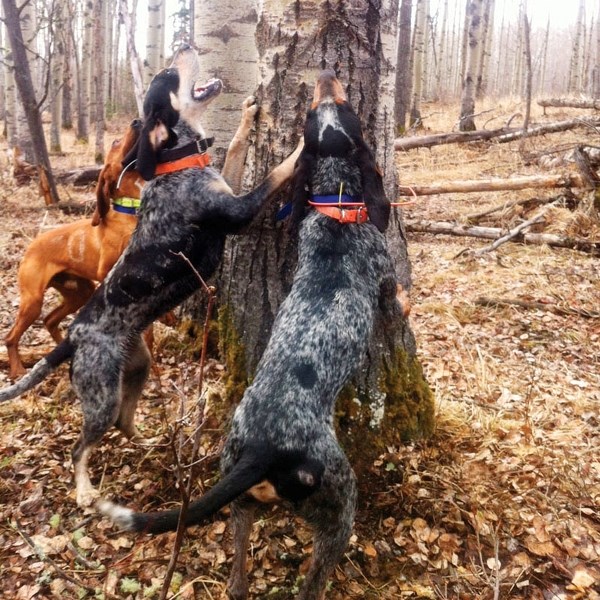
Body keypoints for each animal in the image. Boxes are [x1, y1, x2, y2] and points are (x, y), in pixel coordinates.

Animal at [4, 119, 145, 378]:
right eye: (115, 142)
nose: (138, 121)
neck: (130, 209)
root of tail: (30, 247)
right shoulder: (106, 269)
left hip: (80, 291)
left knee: (50, 320)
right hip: (33, 300)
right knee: (11, 336)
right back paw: (18, 369)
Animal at [101, 69, 400, 600]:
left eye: (324, 109)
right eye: (343, 110)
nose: (326, 75)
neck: (338, 205)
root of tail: (263, 451)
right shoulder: (384, 276)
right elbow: (397, 294)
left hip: (238, 501)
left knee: (238, 578)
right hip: (339, 508)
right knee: (314, 579)